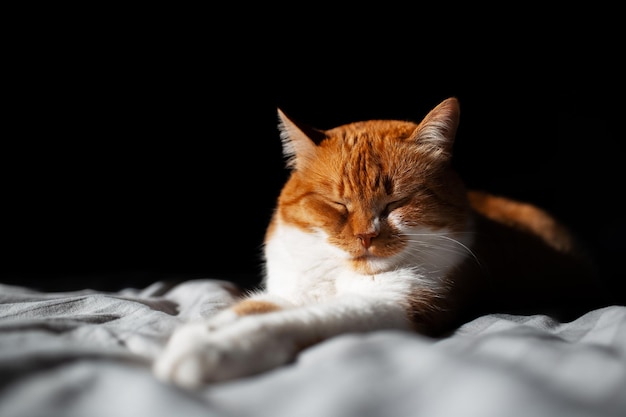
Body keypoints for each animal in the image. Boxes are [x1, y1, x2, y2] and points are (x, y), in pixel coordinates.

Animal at [150, 96, 600, 386]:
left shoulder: (393, 304)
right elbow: (247, 309)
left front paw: (212, 350)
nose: (366, 235)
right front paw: (196, 334)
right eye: (337, 204)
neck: (340, 274)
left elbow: (295, 322)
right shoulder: (292, 290)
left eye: (396, 202)